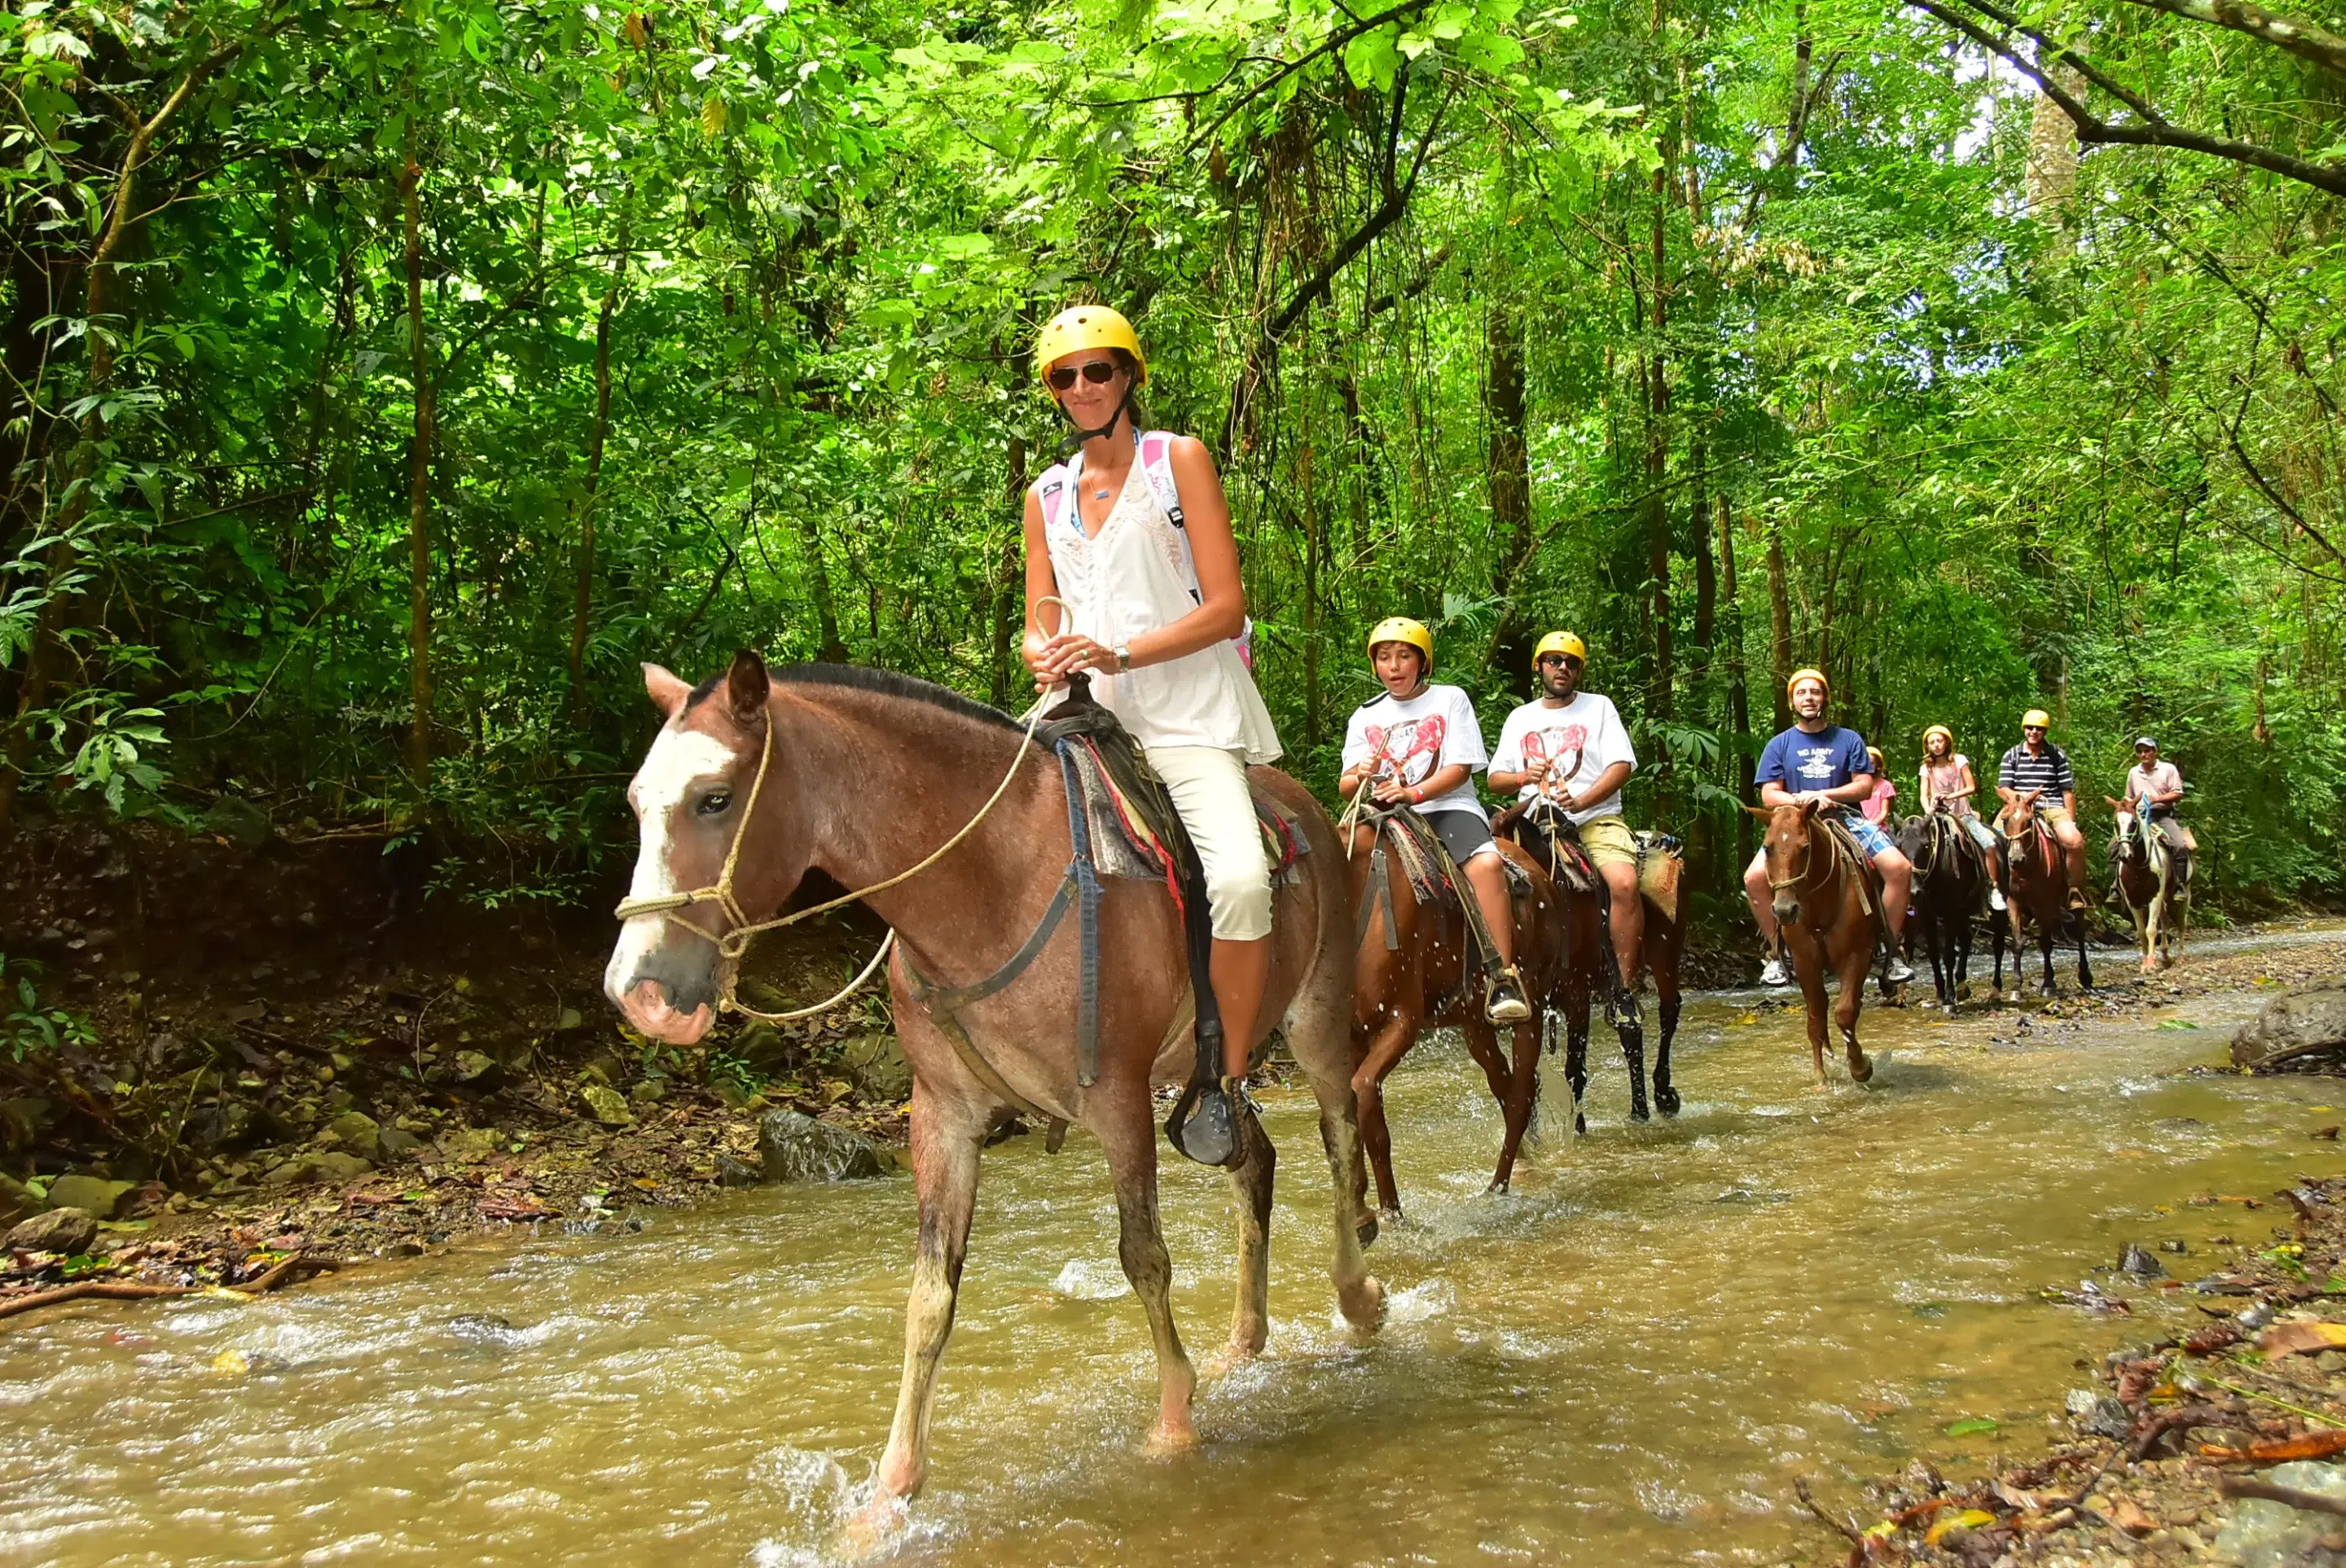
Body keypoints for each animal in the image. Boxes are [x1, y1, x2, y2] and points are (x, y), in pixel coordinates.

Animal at [605, 652, 1379, 1530]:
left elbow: (1144, 1256)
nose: (639, 992)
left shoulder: (1118, 1100)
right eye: (636, 801)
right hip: (1209, 1074)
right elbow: (928, 1296)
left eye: (714, 797)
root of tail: (1305, 802)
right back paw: (1245, 1339)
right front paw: (891, 1488)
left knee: (1338, 1130)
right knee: (1254, 1159)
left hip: (1316, 1014)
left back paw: (1358, 1297)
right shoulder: (942, 1117)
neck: (992, 882)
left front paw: (1174, 1423)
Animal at [1351, 821, 1566, 1210]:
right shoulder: (1354, 1035)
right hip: (1475, 1024)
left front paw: (1392, 1214)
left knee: (1522, 1094)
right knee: (1503, 1084)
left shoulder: (1402, 1022)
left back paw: (1499, 1185)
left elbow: (1365, 1099)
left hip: (1531, 1011)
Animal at [1755, 802, 1877, 1084]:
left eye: (1805, 848)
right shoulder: (1805, 962)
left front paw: (1859, 1066)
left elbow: (1845, 1012)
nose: (1785, 910)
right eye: (1767, 848)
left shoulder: (1857, 955)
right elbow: (1815, 1019)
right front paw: (1820, 1076)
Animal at [1989, 788, 2102, 999]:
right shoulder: (2013, 902)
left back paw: (2085, 977)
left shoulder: (2045, 903)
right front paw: (2016, 987)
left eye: (2029, 820)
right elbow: (2018, 942)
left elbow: (2046, 942)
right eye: (2005, 820)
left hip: (2075, 895)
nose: (2016, 859)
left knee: (2079, 932)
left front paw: (2048, 984)